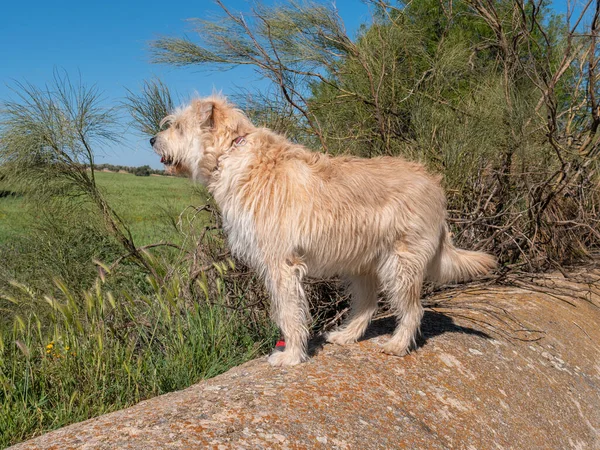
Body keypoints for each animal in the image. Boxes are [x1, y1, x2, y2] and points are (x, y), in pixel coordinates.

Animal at [151, 95, 496, 366]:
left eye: (178, 126)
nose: (153, 140)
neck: (235, 153)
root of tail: (435, 186)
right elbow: (288, 312)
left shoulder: (280, 265)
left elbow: (288, 314)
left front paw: (290, 356)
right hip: (362, 265)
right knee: (367, 305)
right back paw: (346, 336)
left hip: (401, 264)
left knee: (413, 308)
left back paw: (398, 345)